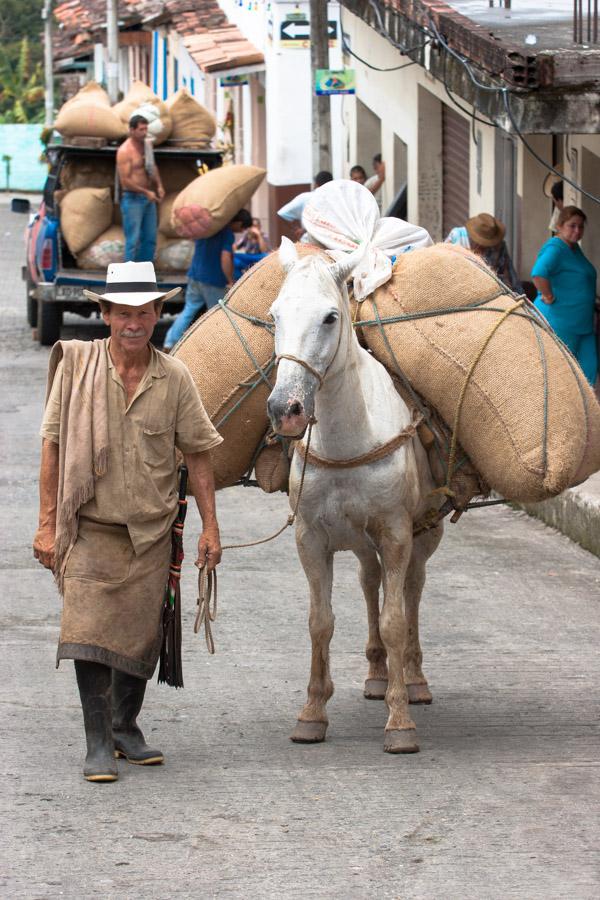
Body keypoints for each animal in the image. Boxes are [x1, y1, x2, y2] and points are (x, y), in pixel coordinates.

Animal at [270, 239, 442, 752]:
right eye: (274, 315)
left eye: (330, 317)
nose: (285, 409)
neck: (347, 439)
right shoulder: (310, 539)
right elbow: (320, 621)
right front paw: (312, 712)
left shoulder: (397, 534)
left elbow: (395, 620)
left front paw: (400, 722)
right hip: (362, 543)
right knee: (370, 582)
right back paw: (377, 673)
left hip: (422, 537)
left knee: (410, 589)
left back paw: (412, 679)